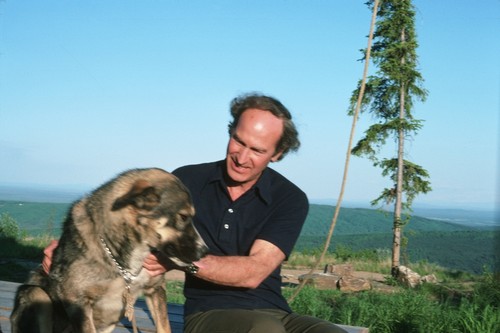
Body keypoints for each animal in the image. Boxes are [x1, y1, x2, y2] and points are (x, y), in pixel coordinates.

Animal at [10, 169, 208, 332]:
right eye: (183, 217)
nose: (205, 252)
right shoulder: (77, 301)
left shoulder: (155, 289)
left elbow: (164, 326)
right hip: (36, 295)